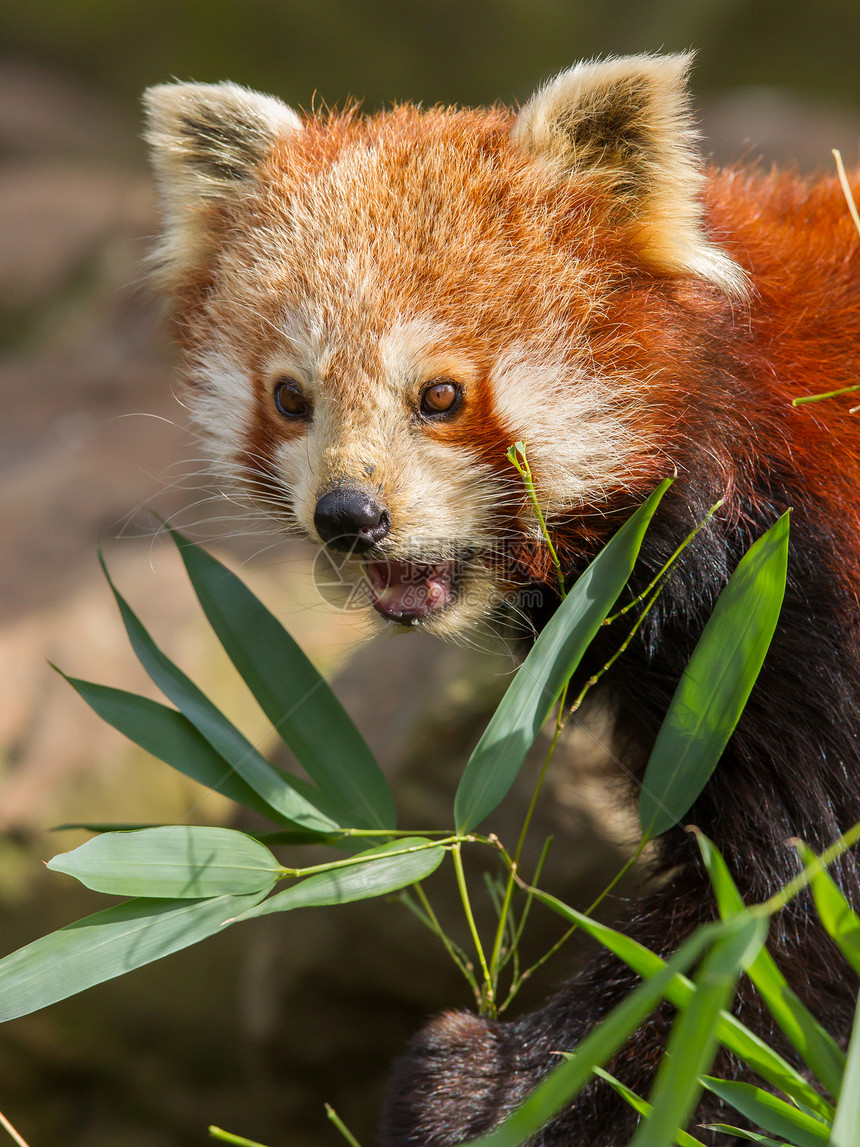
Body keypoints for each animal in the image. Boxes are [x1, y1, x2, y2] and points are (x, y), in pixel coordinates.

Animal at [143, 51, 860, 1147]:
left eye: (439, 396)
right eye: (291, 398)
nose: (349, 515)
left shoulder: (798, 600)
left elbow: (780, 908)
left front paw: (499, 1086)